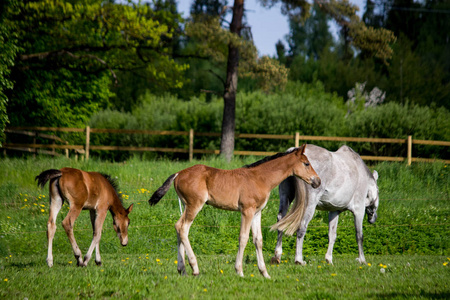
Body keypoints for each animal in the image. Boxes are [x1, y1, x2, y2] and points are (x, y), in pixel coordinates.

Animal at [149, 145, 322, 278]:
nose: (318, 181)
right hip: (194, 205)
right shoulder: (247, 210)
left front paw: (264, 273)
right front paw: (239, 271)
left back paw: (182, 269)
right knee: (182, 227)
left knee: (178, 228)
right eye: (306, 163)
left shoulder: (257, 212)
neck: (260, 178)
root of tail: (178, 174)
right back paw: (195, 268)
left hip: (186, 205)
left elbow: (258, 240)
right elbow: (243, 238)